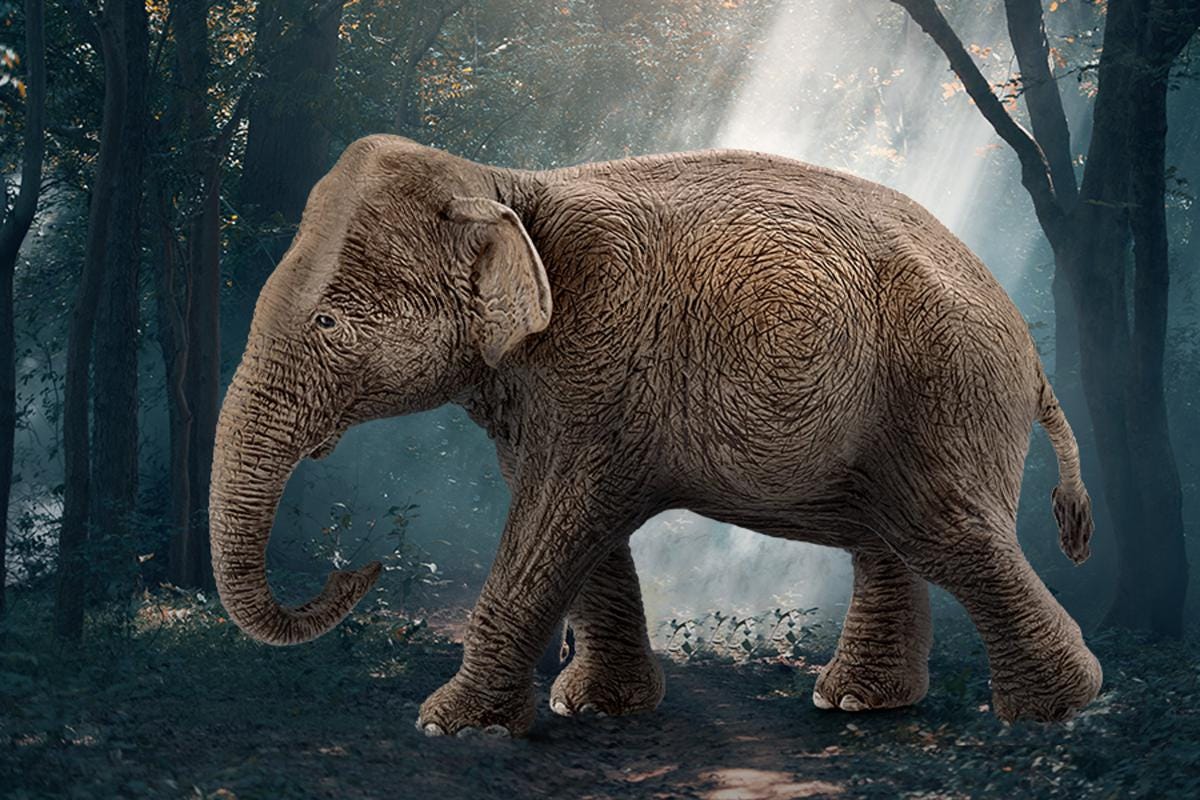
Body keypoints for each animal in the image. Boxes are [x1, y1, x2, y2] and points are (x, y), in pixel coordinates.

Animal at [209, 134, 1102, 738]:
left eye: (328, 323)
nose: (361, 565)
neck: (505, 185)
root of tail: (1032, 352)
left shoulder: (601, 354)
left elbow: (557, 519)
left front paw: (447, 727)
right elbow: (578, 528)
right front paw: (597, 711)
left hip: (947, 387)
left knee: (948, 533)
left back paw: (1054, 711)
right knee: (895, 538)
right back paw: (854, 700)